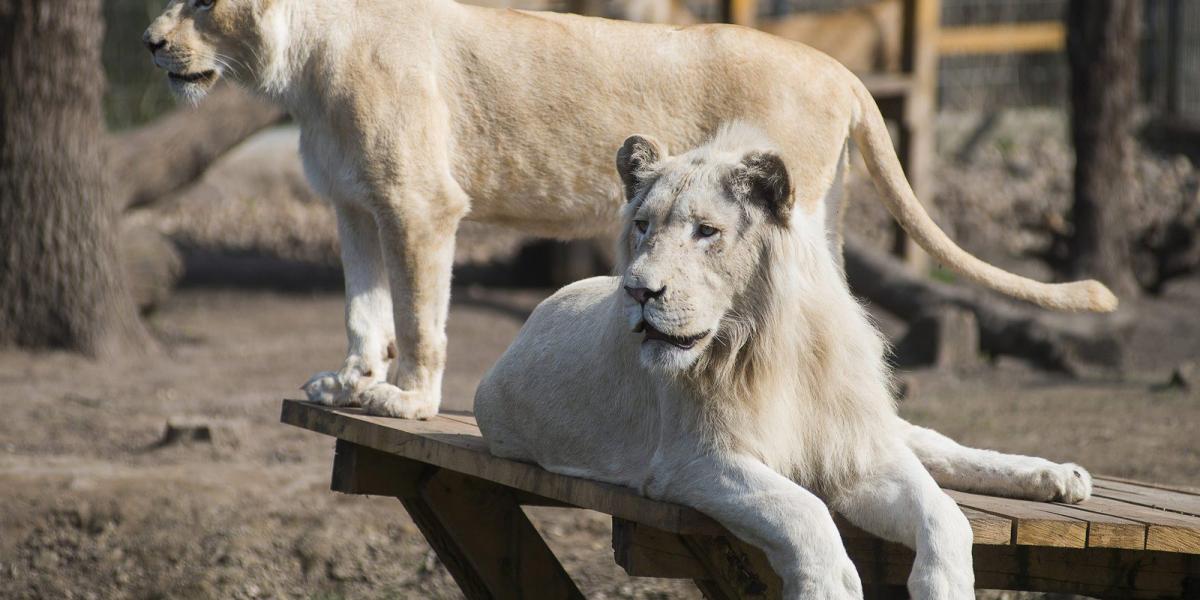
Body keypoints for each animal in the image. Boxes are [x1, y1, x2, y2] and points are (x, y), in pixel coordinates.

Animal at [142, 0, 1113, 420]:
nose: (149, 42)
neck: (301, 69)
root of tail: (840, 70)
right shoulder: (354, 205)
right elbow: (362, 308)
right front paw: (349, 380)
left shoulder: (420, 204)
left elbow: (419, 318)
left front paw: (406, 401)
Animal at [472, 123, 1094, 600]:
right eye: (643, 225)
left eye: (706, 231)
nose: (638, 291)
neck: (770, 344)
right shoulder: (695, 460)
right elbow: (804, 512)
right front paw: (832, 585)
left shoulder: (855, 452)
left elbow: (944, 514)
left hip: (881, 426)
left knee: (940, 448)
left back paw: (1059, 476)